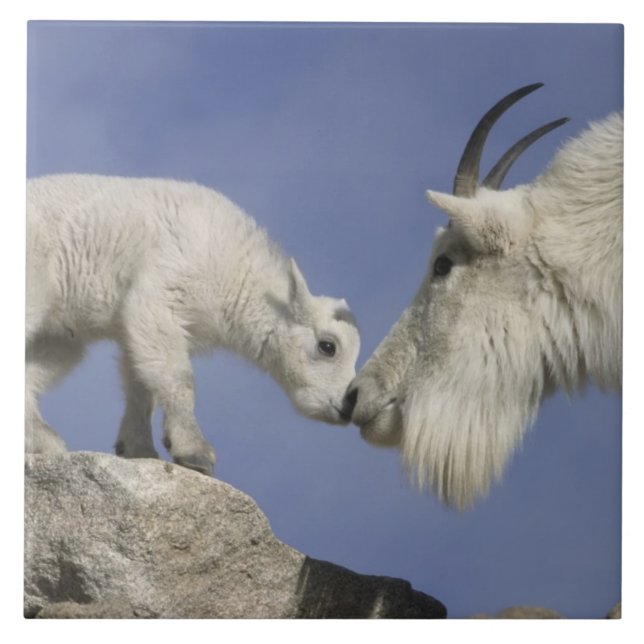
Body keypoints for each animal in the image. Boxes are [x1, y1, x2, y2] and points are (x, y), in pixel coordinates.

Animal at [26, 175, 360, 474]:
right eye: (328, 346)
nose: (348, 405)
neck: (236, 274)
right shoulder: (162, 296)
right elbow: (178, 375)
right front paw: (195, 452)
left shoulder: (134, 325)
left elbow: (141, 382)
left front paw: (139, 449)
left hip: (62, 333)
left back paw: (44, 439)